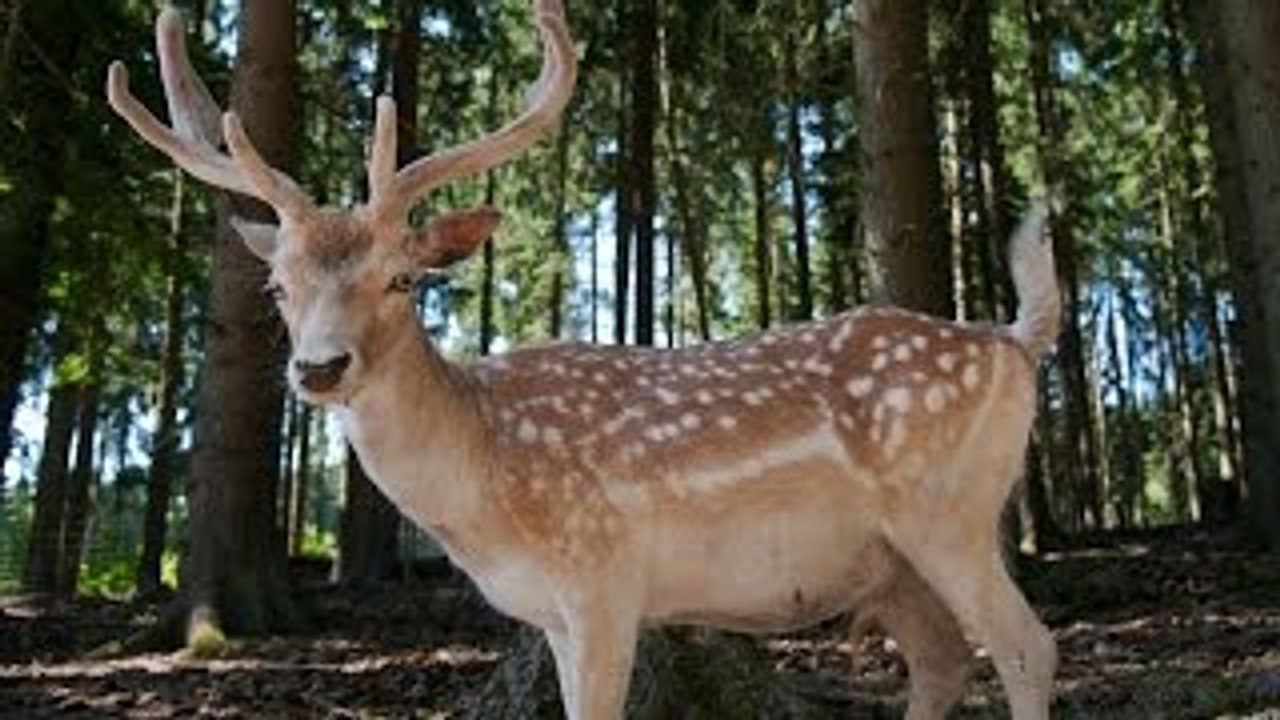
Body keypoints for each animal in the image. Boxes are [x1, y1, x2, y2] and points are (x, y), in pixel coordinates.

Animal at [107, 2, 1059, 718]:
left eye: (403, 279)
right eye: (277, 286)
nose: (320, 369)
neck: (485, 485)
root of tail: (1015, 344)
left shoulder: (604, 573)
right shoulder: (553, 614)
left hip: (948, 512)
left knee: (1027, 646)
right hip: (893, 560)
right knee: (944, 660)